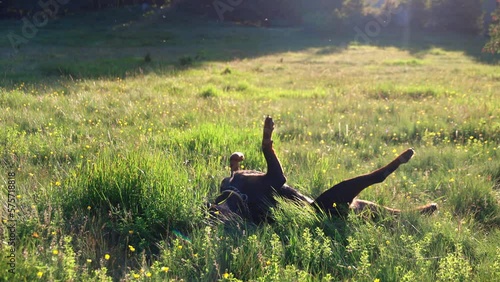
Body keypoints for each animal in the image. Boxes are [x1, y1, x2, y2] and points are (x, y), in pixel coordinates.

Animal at [209, 115, 436, 224]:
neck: (239, 195)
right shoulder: (276, 177)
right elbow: (266, 146)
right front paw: (267, 131)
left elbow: (233, 163)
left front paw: (237, 157)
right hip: (342, 192)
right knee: (379, 175)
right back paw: (405, 157)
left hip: (368, 206)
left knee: (396, 212)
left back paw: (428, 208)